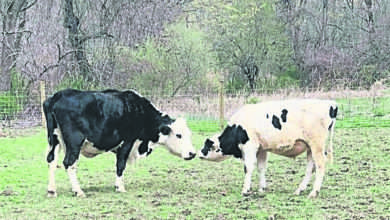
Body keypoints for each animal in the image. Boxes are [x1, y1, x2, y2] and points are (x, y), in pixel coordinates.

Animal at [43, 88, 195, 197]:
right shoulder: (127, 142)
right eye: (179, 135)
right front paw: (120, 187)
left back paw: (52, 190)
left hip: (54, 140)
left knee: (52, 161)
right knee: (69, 163)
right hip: (74, 143)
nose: (192, 153)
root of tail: (57, 96)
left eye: (189, 134)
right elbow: (120, 165)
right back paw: (78, 191)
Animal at [200, 99, 336, 199]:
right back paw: (299, 190)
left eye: (207, 145)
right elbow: (261, 168)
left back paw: (314, 192)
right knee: (310, 168)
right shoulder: (262, 149)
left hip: (317, 146)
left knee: (320, 166)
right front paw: (262, 189)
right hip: (310, 148)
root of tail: (331, 104)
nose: (199, 153)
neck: (237, 127)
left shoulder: (250, 146)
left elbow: (248, 168)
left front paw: (245, 190)